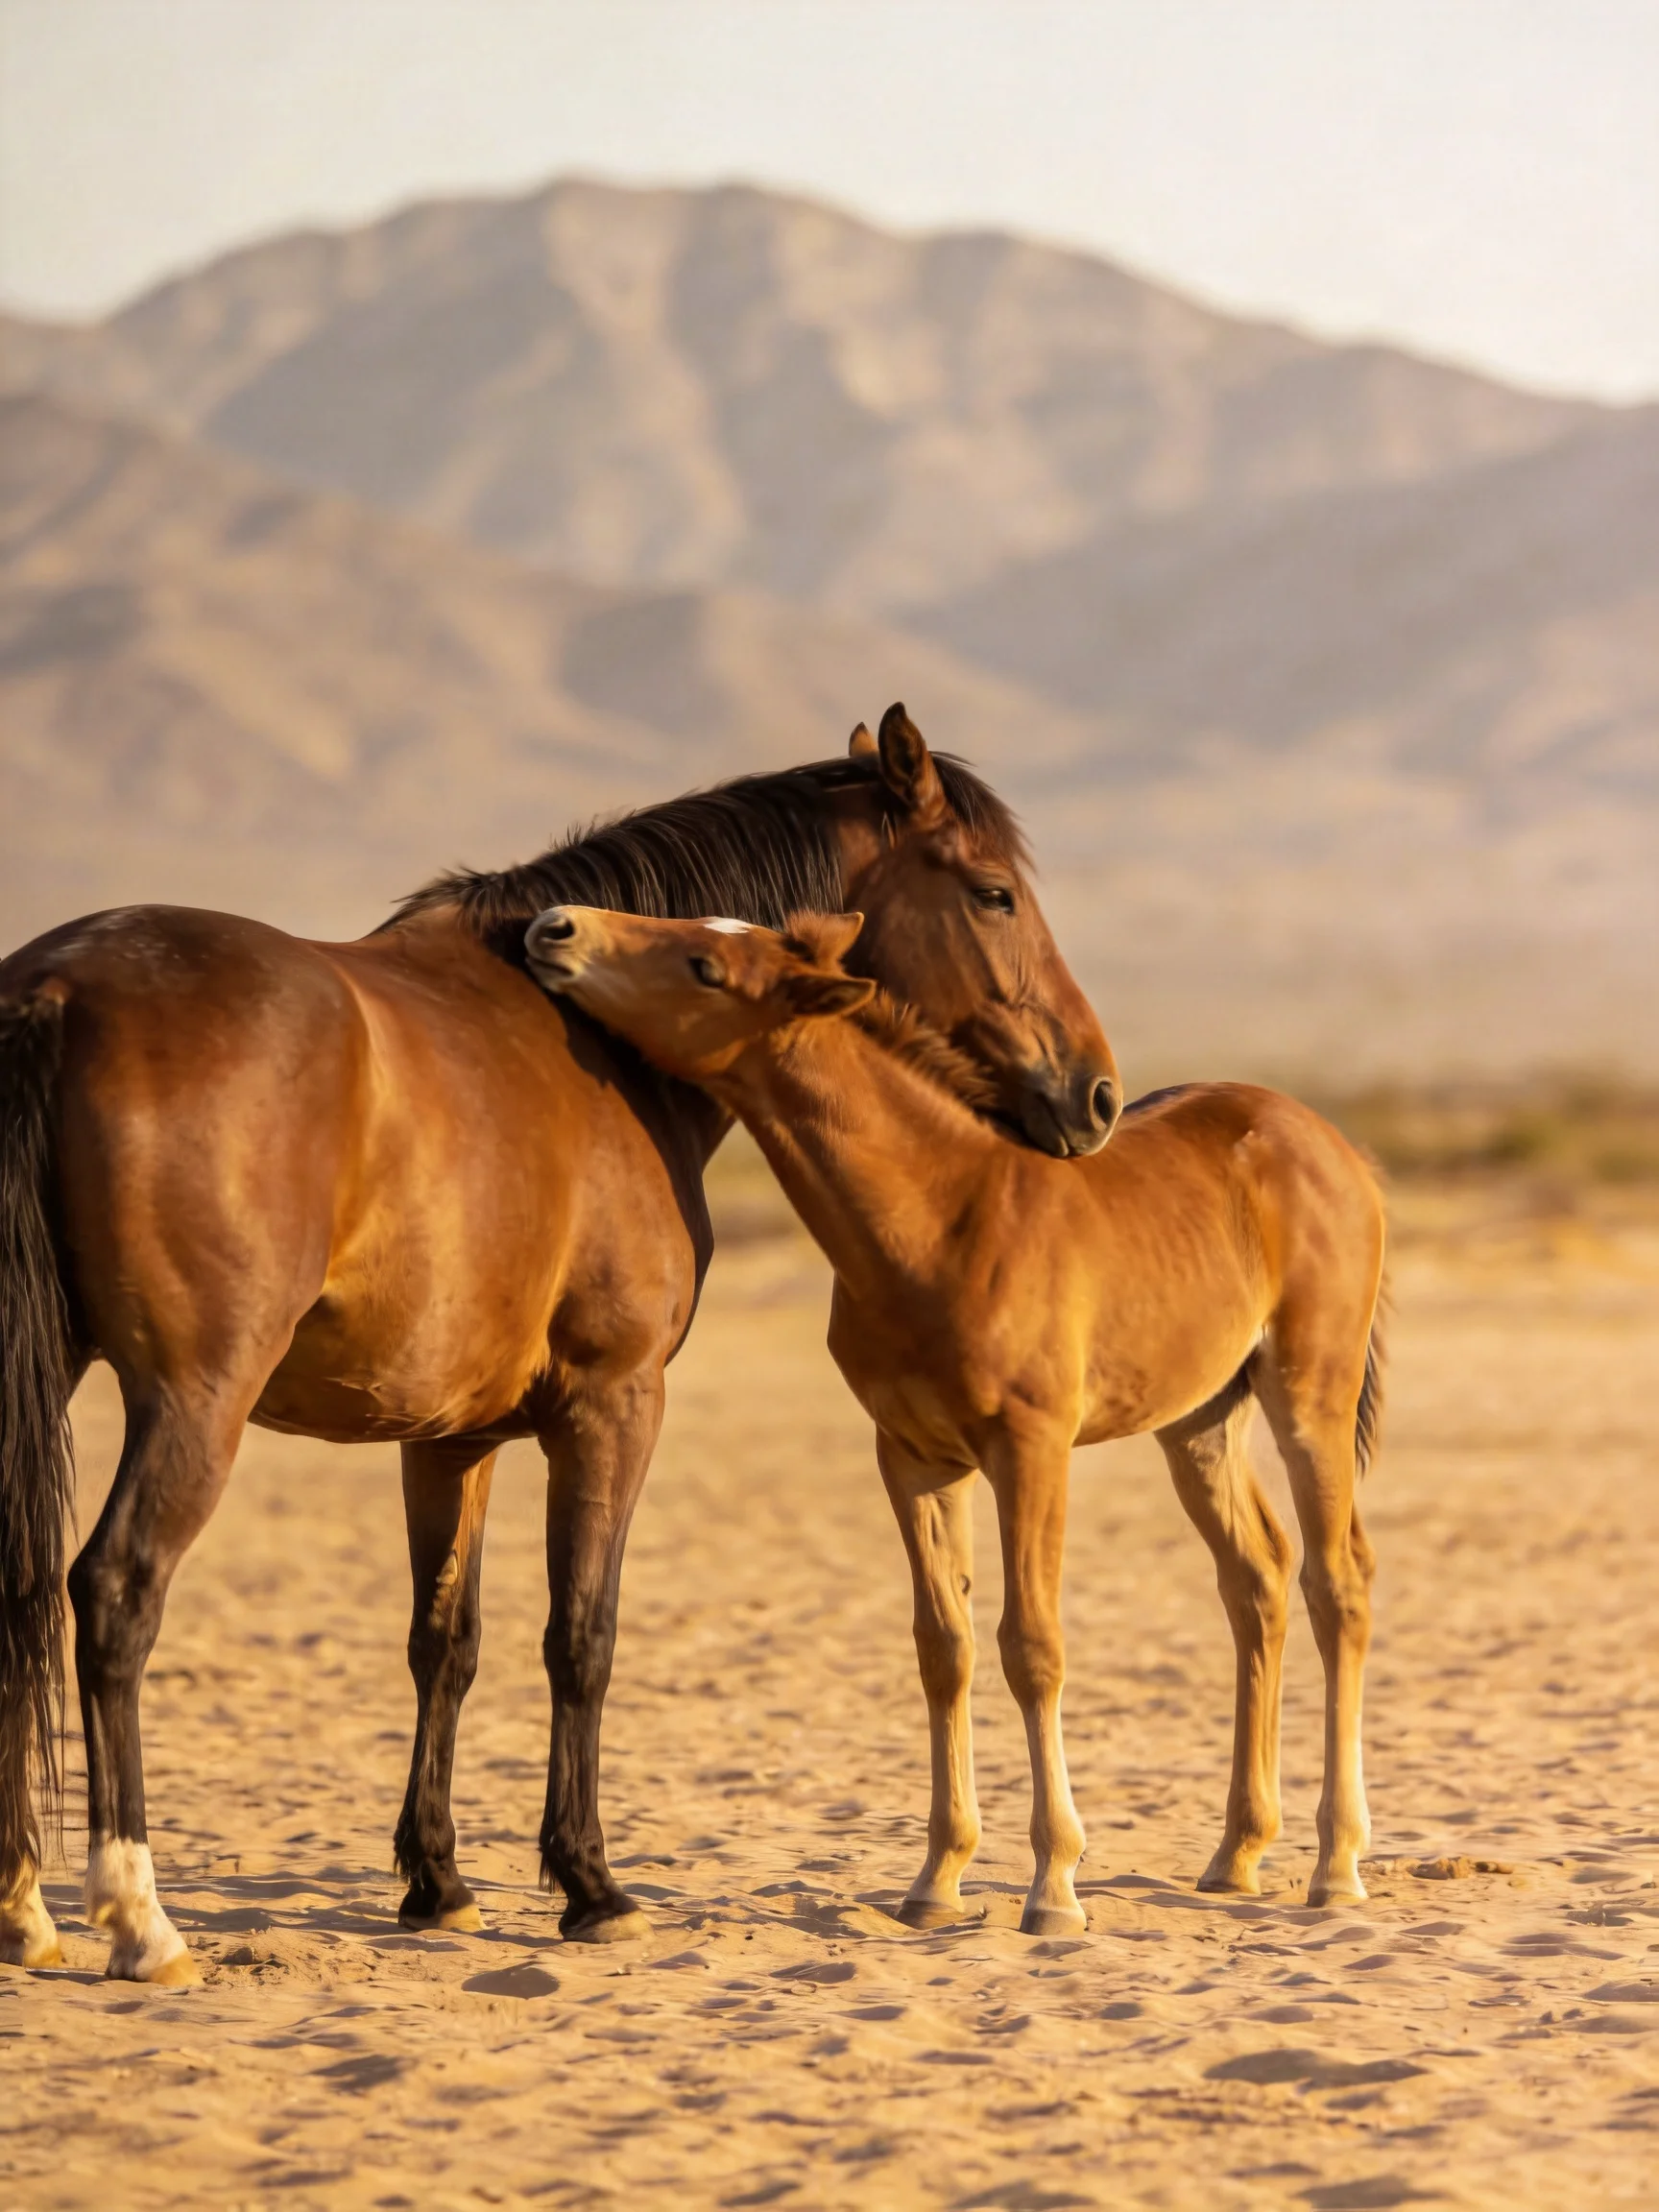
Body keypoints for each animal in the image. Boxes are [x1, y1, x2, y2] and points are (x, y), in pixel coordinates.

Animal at [0, 705, 1118, 1982]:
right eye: (994, 895)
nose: (1095, 1095)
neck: (598, 1047)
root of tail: (55, 988)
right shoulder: (612, 1404)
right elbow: (582, 1635)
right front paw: (591, 1884)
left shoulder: (449, 1438)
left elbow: (447, 1641)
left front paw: (437, 1882)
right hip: (194, 1400)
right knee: (114, 1592)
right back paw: (137, 1916)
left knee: (23, 1592)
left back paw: (24, 1907)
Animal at [522, 903, 1387, 1934]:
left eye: (704, 964)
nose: (556, 927)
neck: (942, 1218)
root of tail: (1337, 1148)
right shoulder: (913, 1456)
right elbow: (945, 1647)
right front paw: (936, 1880)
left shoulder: (1032, 1448)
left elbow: (1033, 1646)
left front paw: (1054, 1888)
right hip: (1200, 1421)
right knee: (1257, 1579)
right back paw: (1237, 1854)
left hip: (1310, 1394)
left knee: (1338, 1583)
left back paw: (1337, 1865)